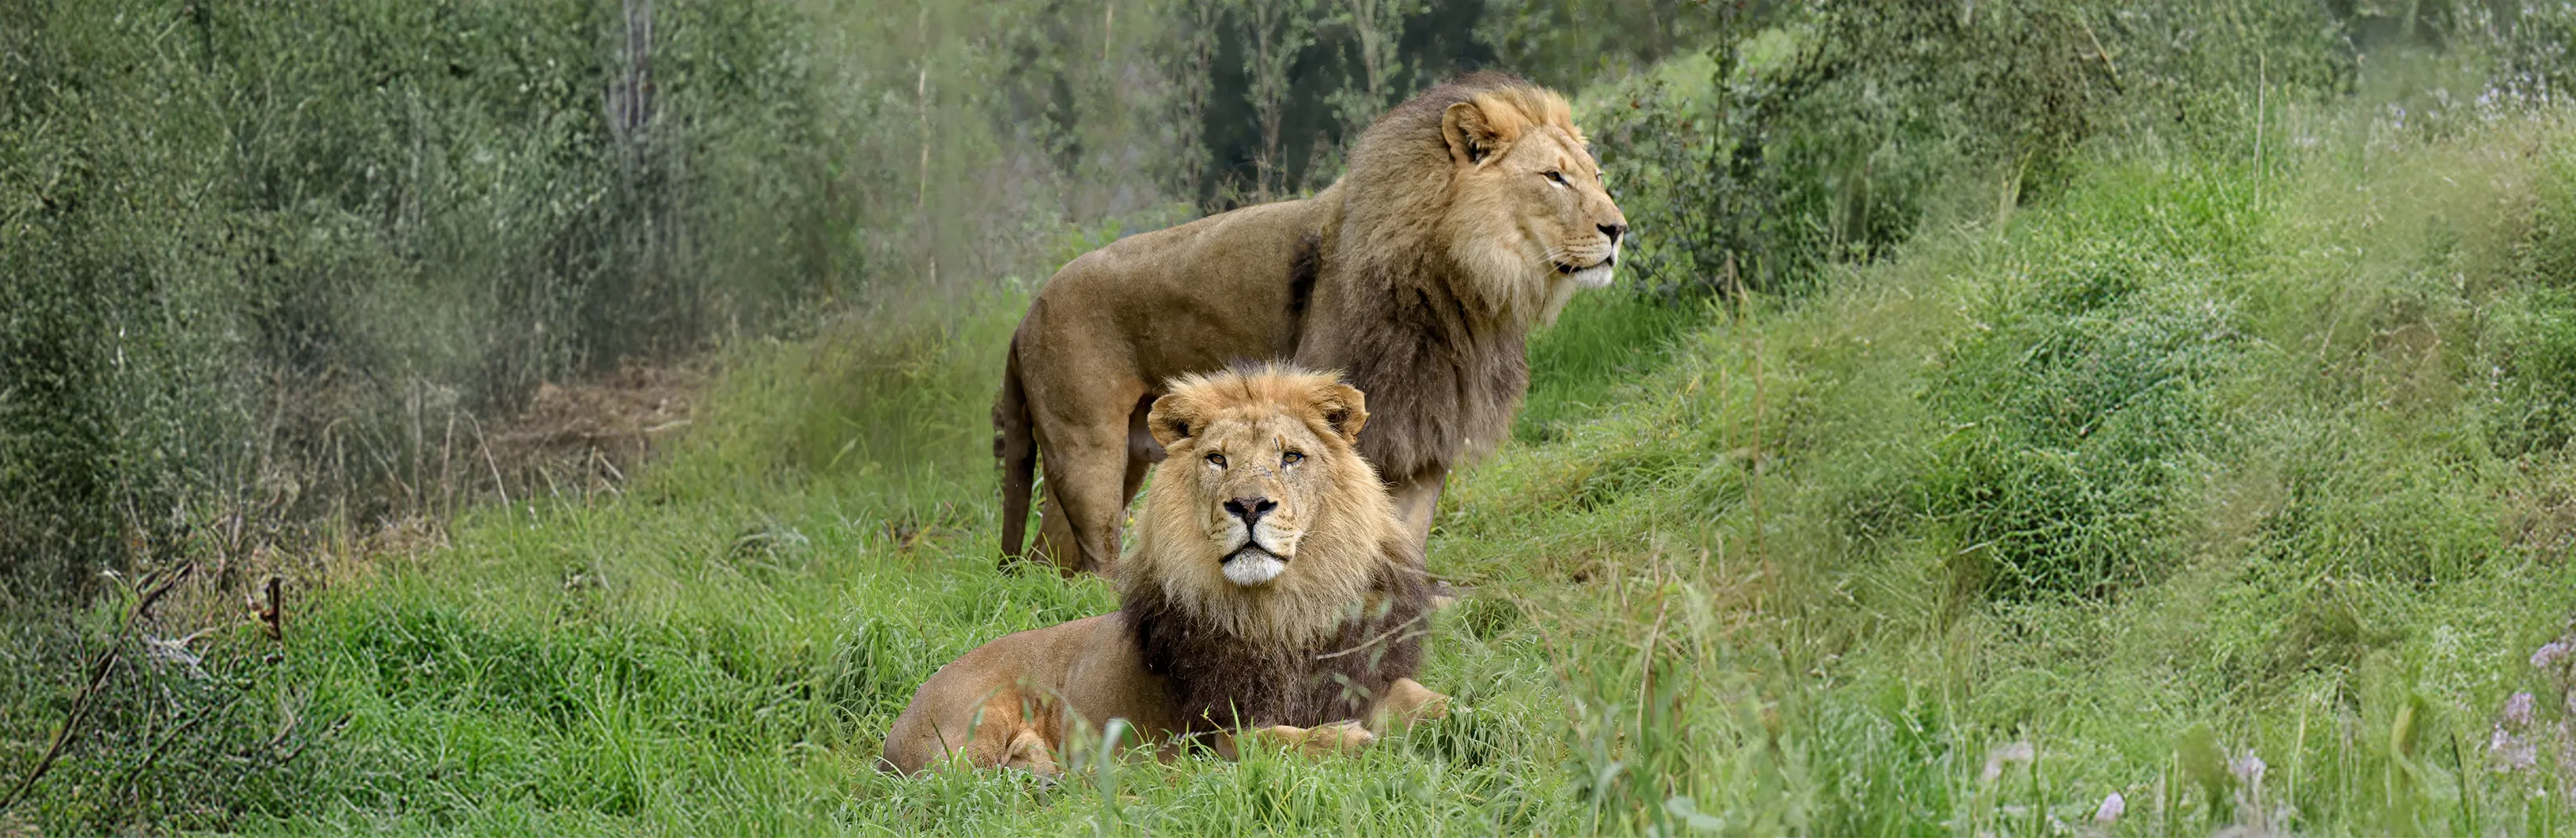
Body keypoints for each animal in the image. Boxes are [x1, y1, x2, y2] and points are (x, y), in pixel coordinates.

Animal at [885, 366, 1449, 774]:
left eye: (1292, 457)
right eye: (1217, 459)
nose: (1249, 505)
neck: (1281, 611)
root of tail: (894, 735)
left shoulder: (1363, 675)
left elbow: (1423, 699)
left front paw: (1462, 720)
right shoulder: (1203, 737)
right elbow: (1264, 741)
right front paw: (1346, 742)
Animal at [997, 71, 1628, 574]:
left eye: (1597, 176)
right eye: (1553, 177)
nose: (1618, 229)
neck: (1462, 290)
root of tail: (1026, 315)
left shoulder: (1424, 430)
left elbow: (1408, 537)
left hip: (1119, 454)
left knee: (1049, 562)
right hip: (1088, 449)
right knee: (1095, 555)